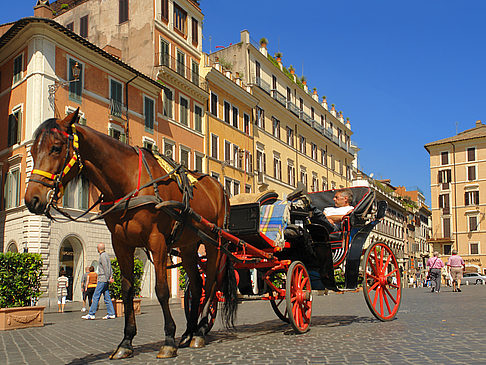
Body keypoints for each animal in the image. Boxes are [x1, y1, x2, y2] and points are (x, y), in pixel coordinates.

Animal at [24, 108, 237, 358]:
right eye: (32, 151)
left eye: (56, 147)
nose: (32, 199)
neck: (128, 182)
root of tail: (220, 189)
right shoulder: (121, 244)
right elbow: (126, 290)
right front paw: (126, 342)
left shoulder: (157, 242)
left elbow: (162, 290)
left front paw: (168, 339)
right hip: (189, 245)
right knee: (196, 286)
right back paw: (188, 333)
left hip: (215, 242)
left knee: (211, 283)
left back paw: (200, 331)